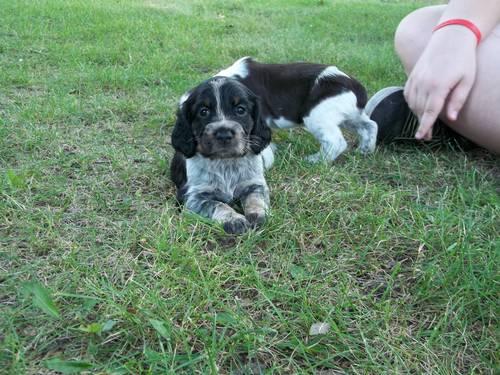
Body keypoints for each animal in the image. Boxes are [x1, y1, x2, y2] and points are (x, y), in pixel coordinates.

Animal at [170, 76, 272, 234]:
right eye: (203, 111)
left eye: (240, 110)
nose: (224, 134)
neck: (226, 162)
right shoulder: (192, 196)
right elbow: (217, 205)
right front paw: (234, 220)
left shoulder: (254, 183)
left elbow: (256, 198)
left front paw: (257, 215)